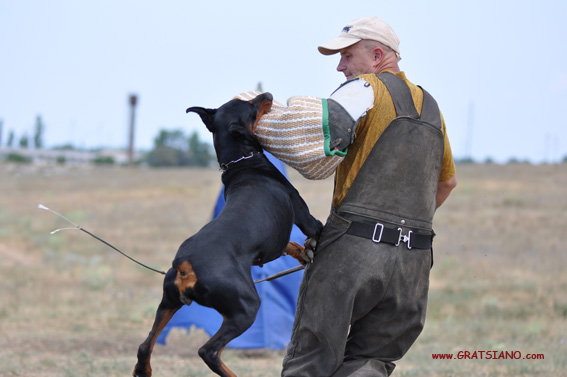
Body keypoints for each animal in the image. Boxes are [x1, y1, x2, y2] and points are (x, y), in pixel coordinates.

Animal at [130, 92, 322, 376]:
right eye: (250, 106)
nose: (267, 94)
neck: (241, 162)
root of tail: (185, 265)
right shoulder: (302, 214)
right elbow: (317, 228)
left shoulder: (276, 240)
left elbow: (289, 244)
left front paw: (303, 253)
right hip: (246, 306)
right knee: (208, 351)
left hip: (169, 302)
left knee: (145, 346)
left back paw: (143, 369)